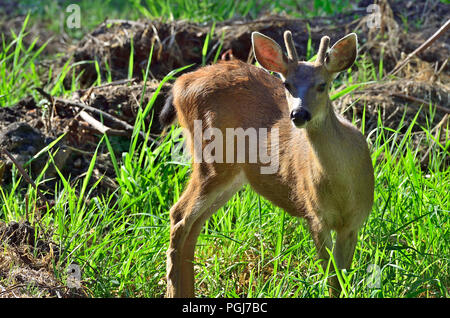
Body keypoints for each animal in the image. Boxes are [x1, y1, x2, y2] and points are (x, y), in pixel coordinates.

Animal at [160, 30, 374, 298]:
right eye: (287, 84)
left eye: (322, 85)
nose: (299, 114)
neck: (342, 190)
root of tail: (181, 83)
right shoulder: (314, 214)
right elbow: (330, 276)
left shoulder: (355, 221)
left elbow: (341, 278)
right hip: (212, 159)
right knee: (179, 215)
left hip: (232, 175)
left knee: (194, 224)